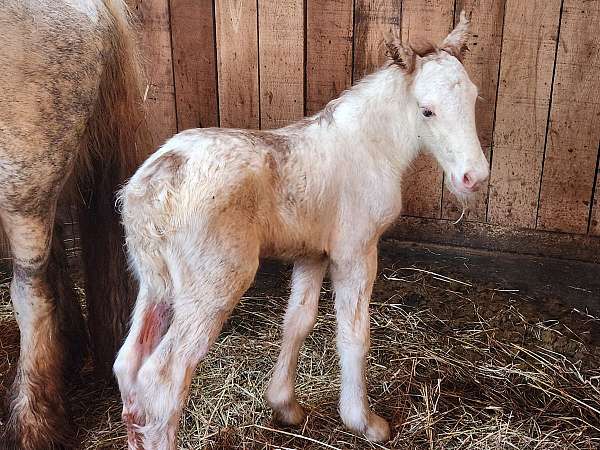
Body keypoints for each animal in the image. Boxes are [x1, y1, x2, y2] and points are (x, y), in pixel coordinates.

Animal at [115, 12, 490, 448]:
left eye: (474, 98)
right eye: (426, 111)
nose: (473, 178)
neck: (370, 148)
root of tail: (152, 187)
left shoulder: (313, 253)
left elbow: (298, 320)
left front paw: (285, 405)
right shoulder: (356, 250)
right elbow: (354, 334)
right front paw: (364, 422)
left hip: (155, 282)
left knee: (128, 365)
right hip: (213, 285)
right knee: (163, 377)